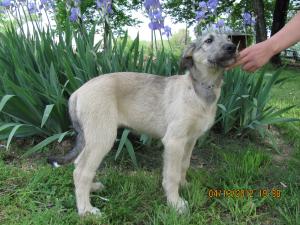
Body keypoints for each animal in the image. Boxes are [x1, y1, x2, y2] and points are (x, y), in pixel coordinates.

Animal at [48, 32, 237, 216]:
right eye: (209, 40)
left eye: (229, 37)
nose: (232, 48)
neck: (200, 89)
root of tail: (77, 92)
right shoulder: (174, 141)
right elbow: (172, 175)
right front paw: (175, 203)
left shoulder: (190, 140)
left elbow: (184, 165)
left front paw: (185, 186)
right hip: (102, 137)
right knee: (81, 171)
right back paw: (86, 210)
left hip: (93, 137)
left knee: (79, 164)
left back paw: (92, 188)